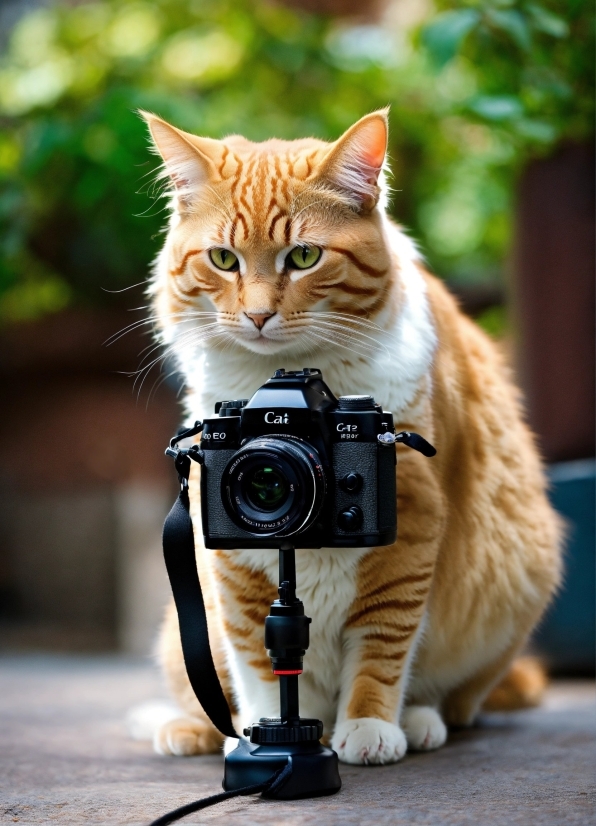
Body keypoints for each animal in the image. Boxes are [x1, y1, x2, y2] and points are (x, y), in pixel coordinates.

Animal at [137, 106, 560, 764]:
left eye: (304, 256)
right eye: (224, 260)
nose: (257, 316)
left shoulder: (411, 526)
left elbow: (382, 642)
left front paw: (366, 726)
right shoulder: (231, 560)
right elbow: (259, 661)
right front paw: (268, 735)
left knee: (457, 700)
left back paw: (420, 720)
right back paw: (192, 729)